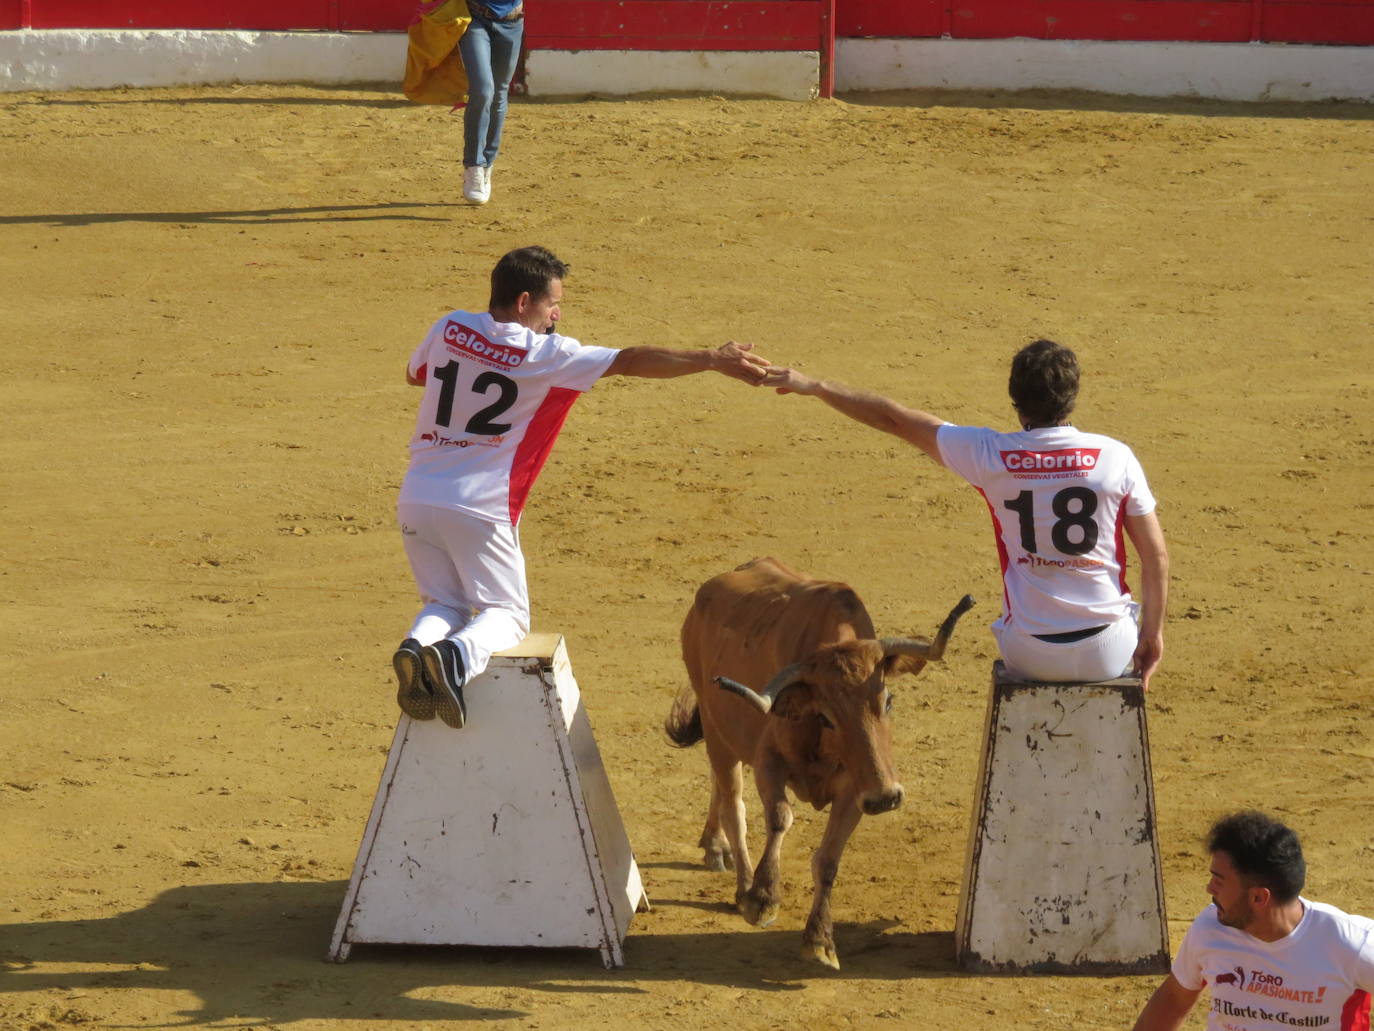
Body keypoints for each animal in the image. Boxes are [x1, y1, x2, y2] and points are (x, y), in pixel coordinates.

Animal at [667, 558, 978, 967]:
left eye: (888, 700)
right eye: (827, 716)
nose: (888, 797)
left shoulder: (857, 791)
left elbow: (828, 860)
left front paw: (819, 939)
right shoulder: (768, 763)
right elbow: (778, 818)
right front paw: (762, 898)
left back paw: (713, 845)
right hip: (717, 731)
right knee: (733, 802)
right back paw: (739, 877)